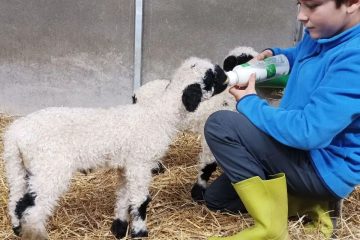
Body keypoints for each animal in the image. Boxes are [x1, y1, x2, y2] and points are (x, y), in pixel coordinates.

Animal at [2, 55, 226, 238]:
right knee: (31, 209)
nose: (226, 76)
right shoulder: (140, 163)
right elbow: (140, 200)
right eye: (210, 76)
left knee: (16, 201)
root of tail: (15, 134)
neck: (158, 115)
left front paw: (119, 228)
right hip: (50, 169)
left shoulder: (127, 166)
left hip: (22, 168)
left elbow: (123, 196)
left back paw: (18, 230)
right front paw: (140, 232)